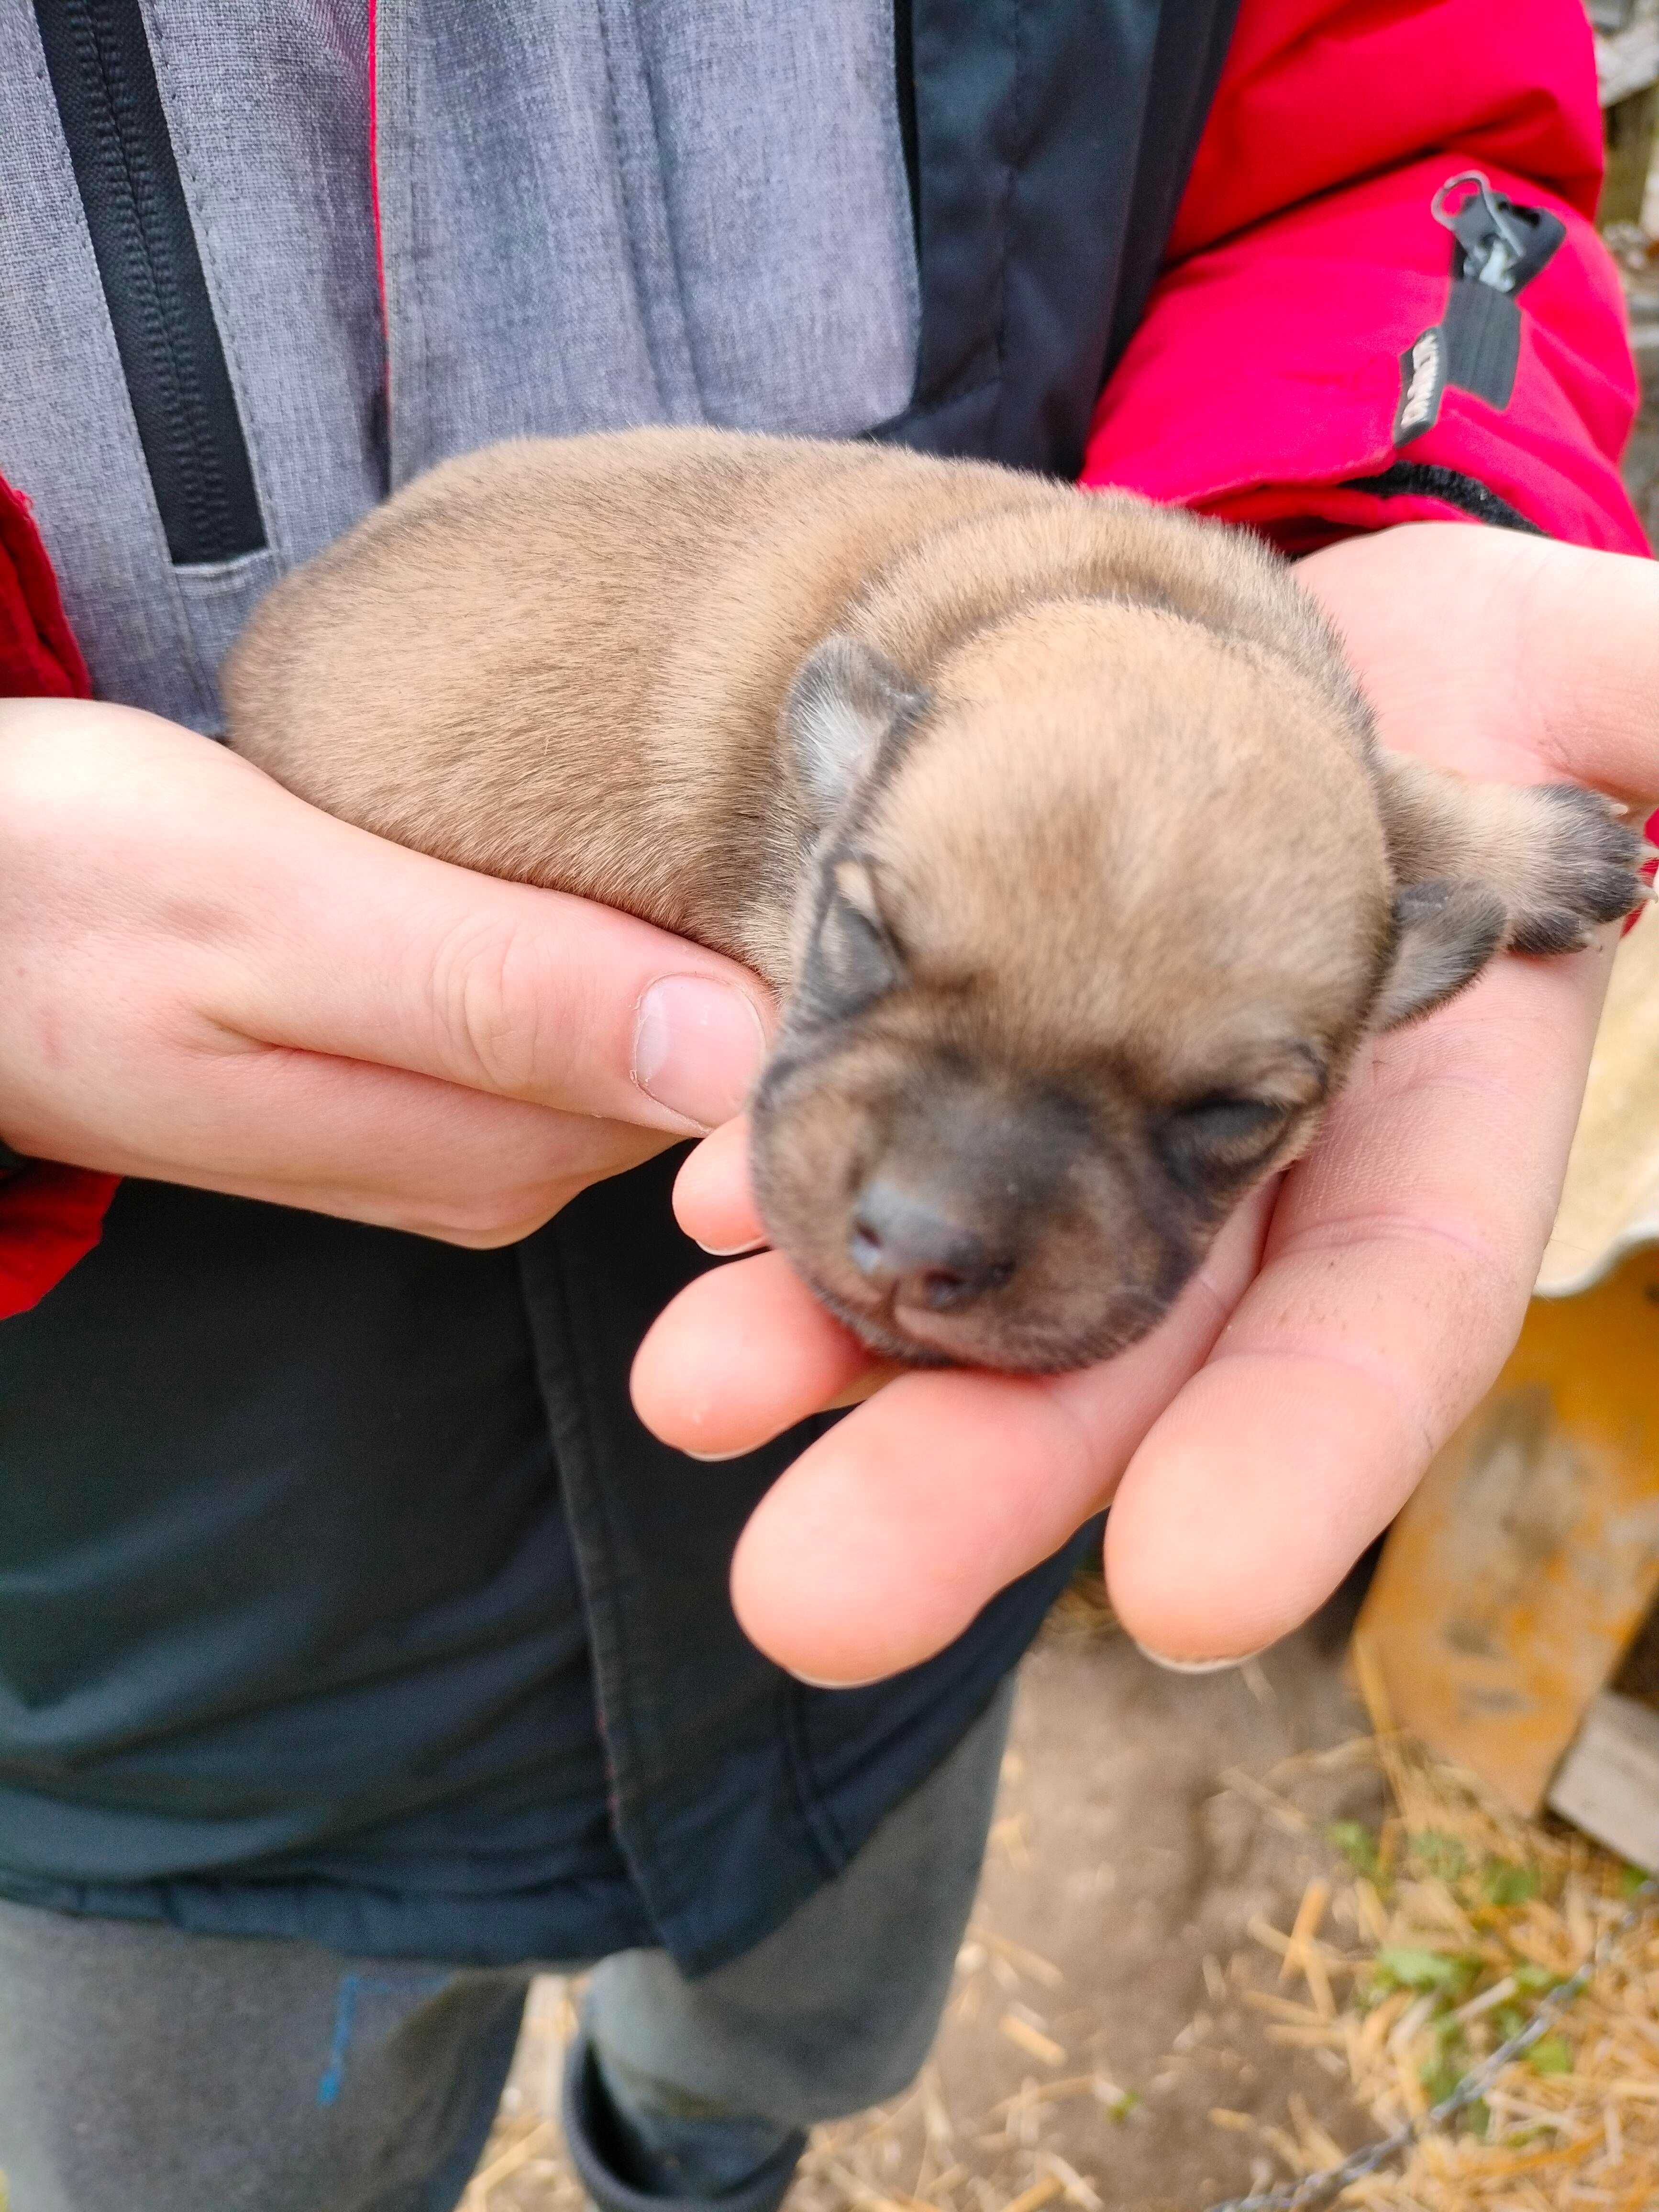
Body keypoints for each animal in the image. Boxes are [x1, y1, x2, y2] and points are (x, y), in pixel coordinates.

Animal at [224, 422, 1654, 1371]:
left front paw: (1533, 850)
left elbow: (1392, 795)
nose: (919, 1248)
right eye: (860, 938)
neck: (1101, 597)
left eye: (1233, 1116)